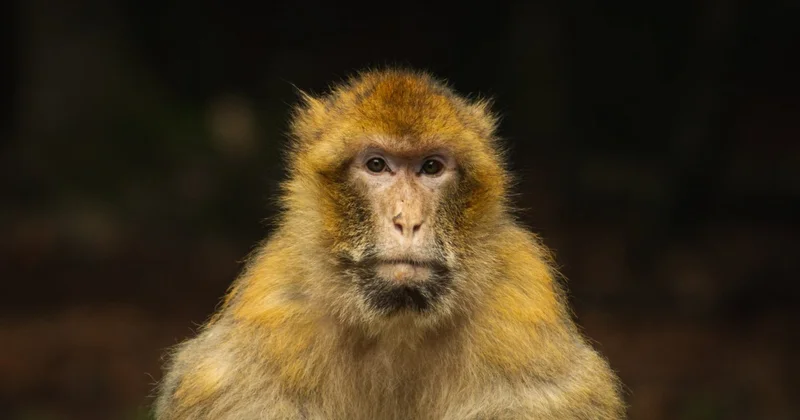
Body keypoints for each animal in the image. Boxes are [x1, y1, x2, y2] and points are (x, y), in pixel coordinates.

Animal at [153, 68, 625, 419]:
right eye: (377, 165)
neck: (396, 322)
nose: (407, 221)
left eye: (431, 167)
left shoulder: (521, 301)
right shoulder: (272, 308)